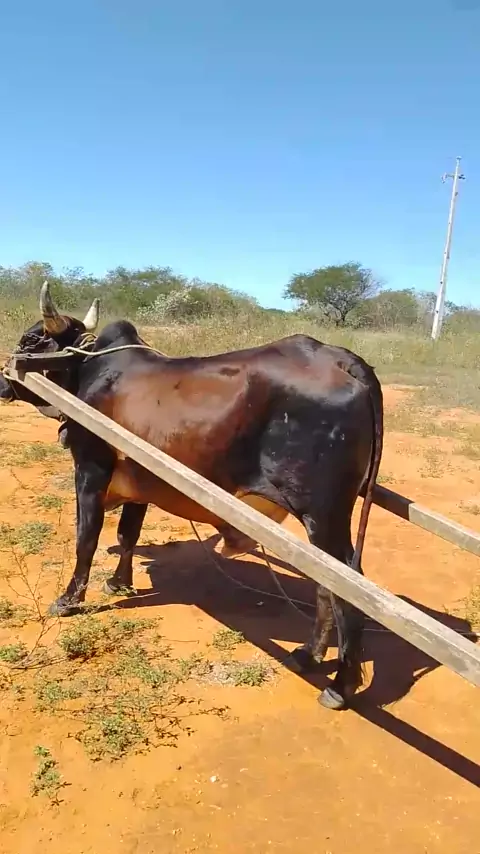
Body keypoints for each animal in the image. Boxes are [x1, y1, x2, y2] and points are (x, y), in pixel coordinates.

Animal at [0, 282, 383, 710]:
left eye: (30, 340)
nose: (2, 381)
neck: (90, 371)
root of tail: (340, 358)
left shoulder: (90, 468)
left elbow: (87, 538)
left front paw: (69, 600)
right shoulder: (142, 479)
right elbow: (127, 534)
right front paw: (119, 582)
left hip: (324, 513)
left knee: (348, 584)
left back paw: (341, 684)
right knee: (326, 584)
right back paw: (308, 655)